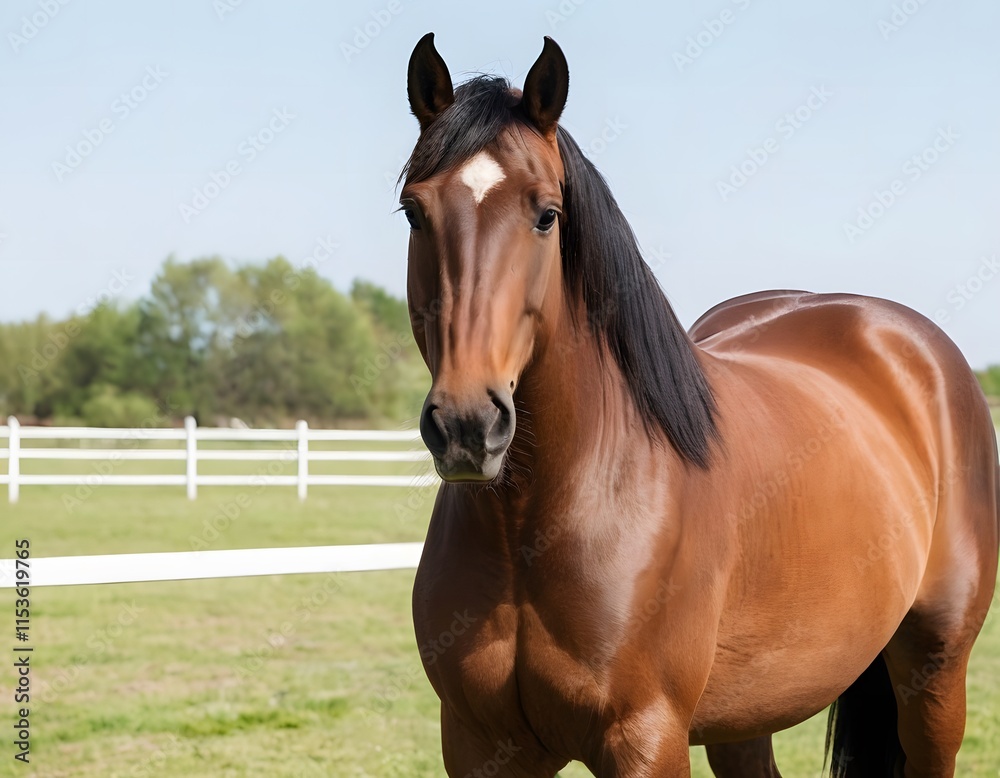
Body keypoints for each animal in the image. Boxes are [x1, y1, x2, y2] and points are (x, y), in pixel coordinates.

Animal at [400, 33, 999, 777]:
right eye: (414, 210)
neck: (538, 522)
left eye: (546, 214)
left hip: (935, 674)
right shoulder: (482, 744)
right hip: (748, 710)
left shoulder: (646, 738)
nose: (466, 425)